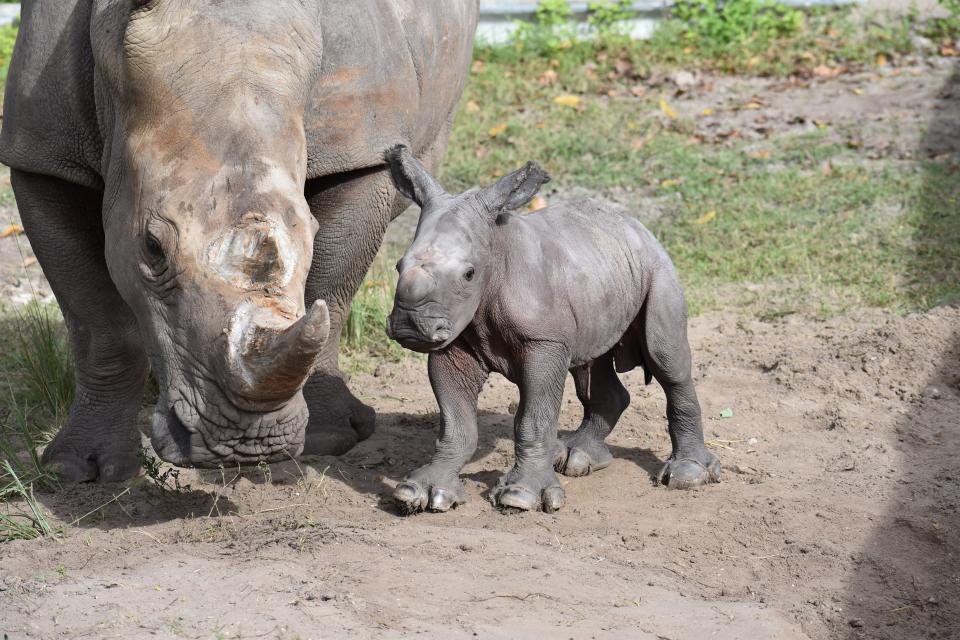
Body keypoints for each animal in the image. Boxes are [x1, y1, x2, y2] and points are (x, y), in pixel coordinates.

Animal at [0, 0, 480, 480]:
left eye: (312, 232)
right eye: (152, 248)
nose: (247, 445)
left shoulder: (362, 152)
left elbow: (330, 290)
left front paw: (327, 439)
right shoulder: (41, 154)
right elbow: (100, 325)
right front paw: (77, 469)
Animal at [382, 146, 720, 516]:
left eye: (469, 274)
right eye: (397, 266)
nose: (410, 325)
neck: (495, 251)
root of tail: (636, 225)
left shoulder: (543, 341)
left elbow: (533, 418)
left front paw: (520, 497)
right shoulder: (454, 334)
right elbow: (455, 420)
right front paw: (423, 492)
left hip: (658, 268)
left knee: (665, 359)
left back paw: (687, 475)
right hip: (599, 269)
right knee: (589, 365)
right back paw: (574, 457)